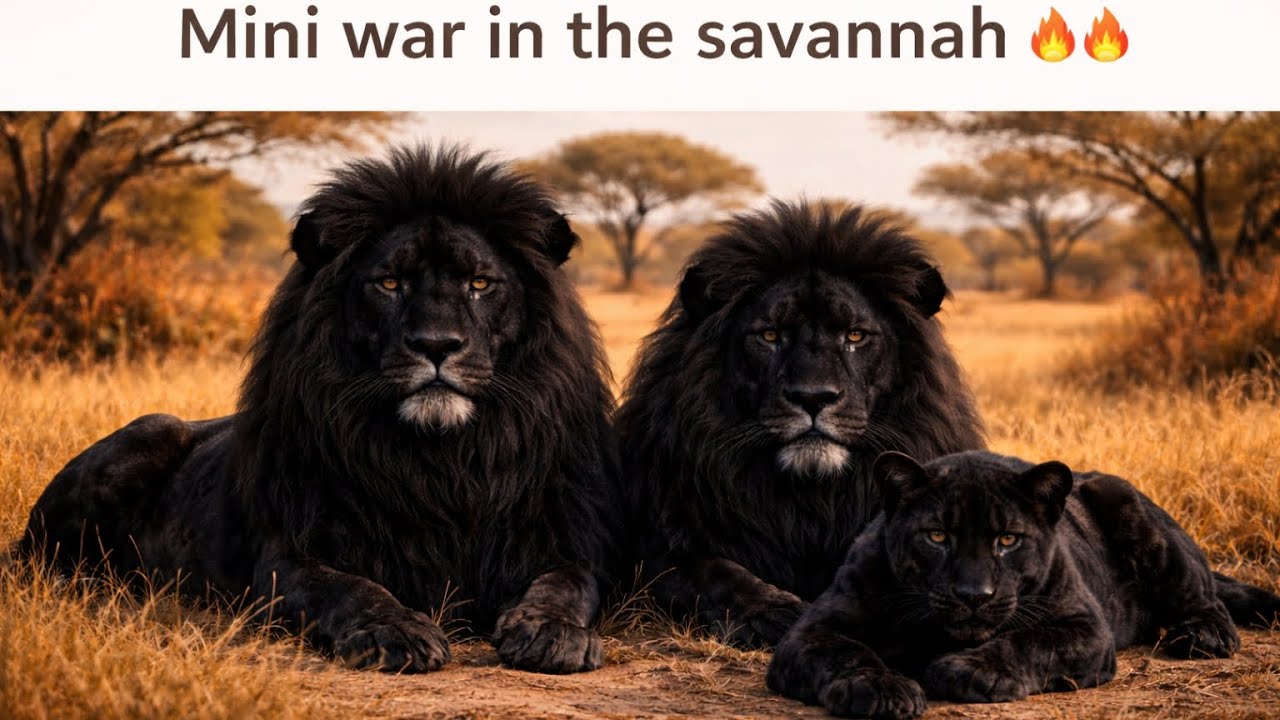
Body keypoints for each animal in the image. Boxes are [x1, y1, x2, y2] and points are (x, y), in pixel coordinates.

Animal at [20, 146, 620, 675]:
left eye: (479, 283)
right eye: (389, 282)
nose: (436, 345)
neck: (443, 460)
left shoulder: (557, 540)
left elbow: (568, 583)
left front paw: (553, 633)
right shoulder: (290, 554)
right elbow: (349, 588)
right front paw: (394, 632)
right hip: (151, 432)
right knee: (33, 558)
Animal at [616, 201, 986, 647]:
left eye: (855, 336)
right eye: (770, 335)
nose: (813, 397)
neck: (812, 501)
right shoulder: (656, 543)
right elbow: (710, 572)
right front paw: (774, 614)